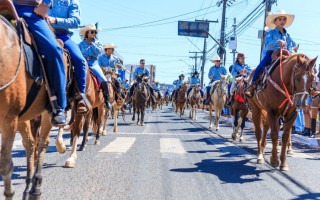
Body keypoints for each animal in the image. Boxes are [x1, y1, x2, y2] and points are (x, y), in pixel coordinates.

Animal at [0, 7, 68, 198]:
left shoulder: (8, 119)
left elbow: (6, 166)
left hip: (46, 112)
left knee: (43, 143)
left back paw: (36, 187)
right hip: (23, 117)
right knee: (30, 144)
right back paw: (28, 184)